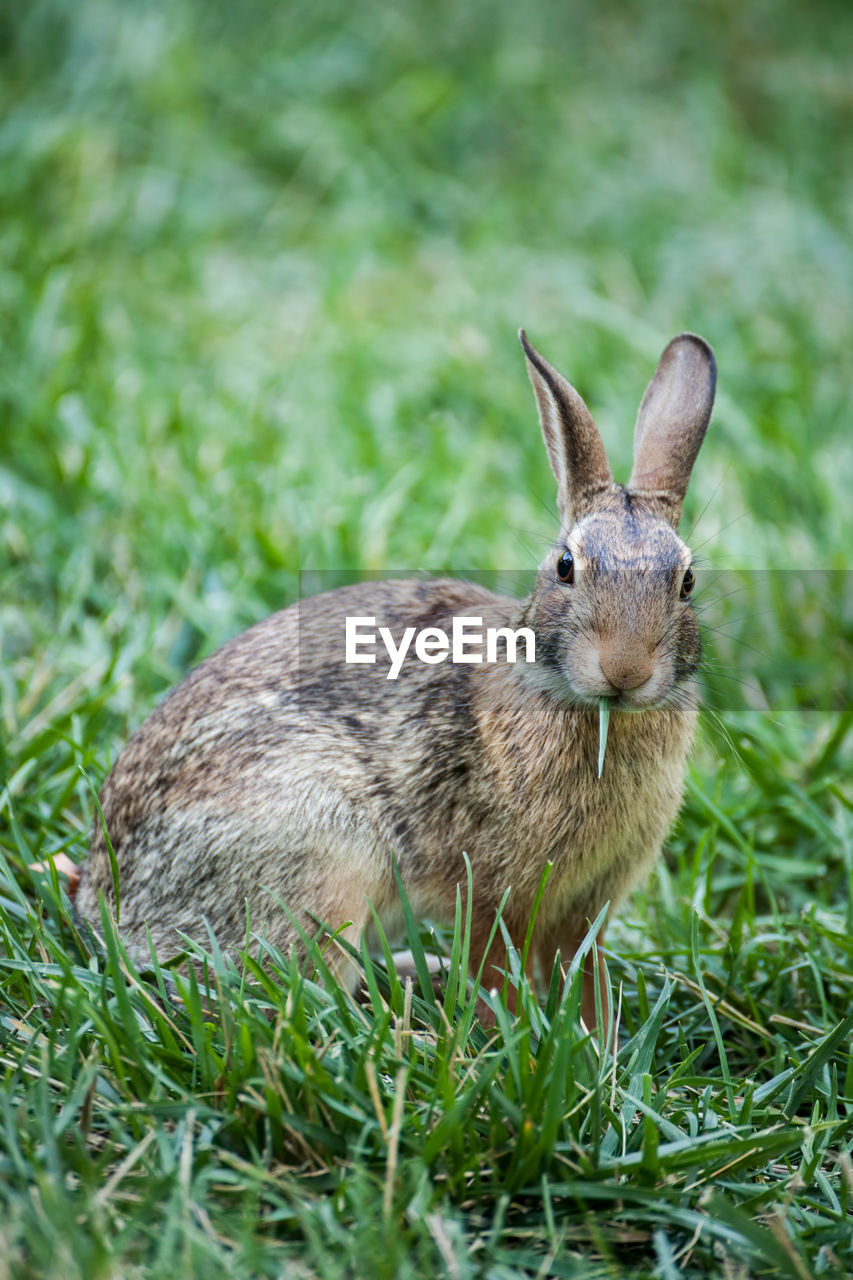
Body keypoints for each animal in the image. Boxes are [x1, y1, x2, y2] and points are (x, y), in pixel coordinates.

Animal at [73, 330, 712, 1029]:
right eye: (566, 567)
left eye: (687, 582)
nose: (625, 670)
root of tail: (110, 905)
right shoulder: (493, 892)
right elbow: (497, 971)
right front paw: (504, 1032)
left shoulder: (588, 905)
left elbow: (583, 975)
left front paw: (600, 1046)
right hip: (325, 851)